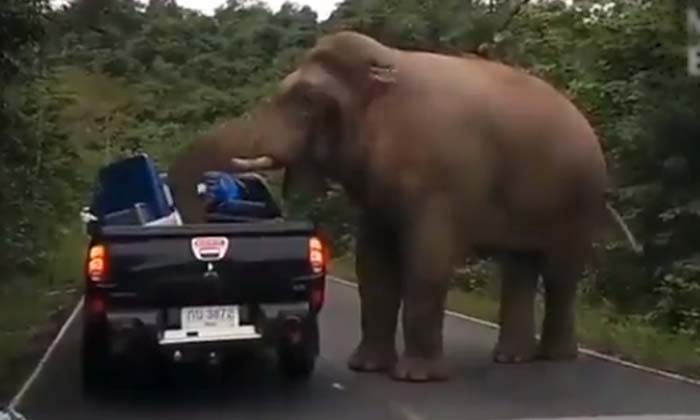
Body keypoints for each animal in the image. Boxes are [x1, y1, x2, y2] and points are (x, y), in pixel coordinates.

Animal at [170, 30, 642, 382]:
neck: (386, 67)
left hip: (578, 198)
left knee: (560, 273)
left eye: (306, 104)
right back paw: (512, 358)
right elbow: (373, 263)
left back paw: (556, 358)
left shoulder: (441, 181)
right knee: (520, 268)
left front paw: (416, 378)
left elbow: (427, 260)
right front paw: (366, 368)